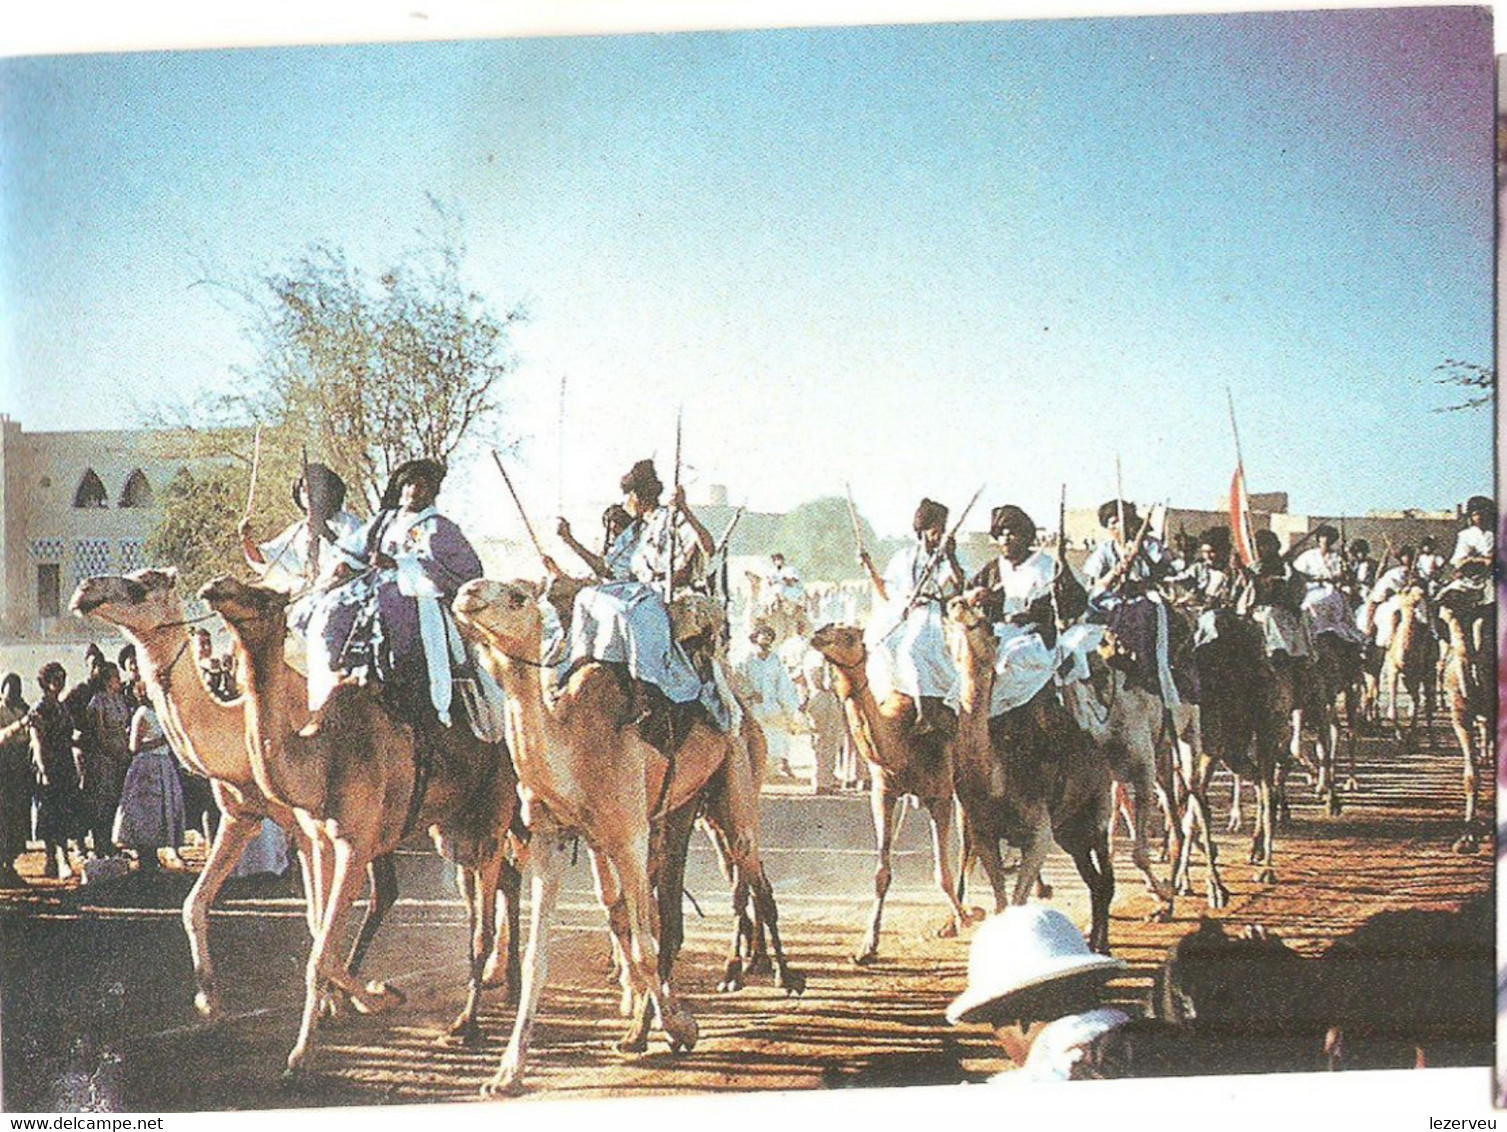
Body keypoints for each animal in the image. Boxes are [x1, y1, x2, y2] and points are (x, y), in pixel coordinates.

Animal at [70, 569, 406, 1024]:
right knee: (385, 891)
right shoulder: (238, 816)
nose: (85, 590)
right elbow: (193, 904)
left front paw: (334, 1002)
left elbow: (317, 918)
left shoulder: (308, 827)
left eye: (142, 585)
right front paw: (208, 999)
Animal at [200, 578, 518, 1073]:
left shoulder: (355, 844)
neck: (322, 756)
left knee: (482, 926)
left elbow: (320, 953)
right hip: (453, 830)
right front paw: (370, 996)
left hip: (491, 818)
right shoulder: (320, 841)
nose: (216, 587)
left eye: (263, 596)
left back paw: (468, 1024)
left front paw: (302, 1054)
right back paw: (509, 986)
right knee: (505, 885)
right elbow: (321, 939)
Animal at [449, 578, 789, 1091]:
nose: (467, 593)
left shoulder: (629, 836)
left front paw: (682, 1027)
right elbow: (539, 958)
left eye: (516, 597)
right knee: (689, 904)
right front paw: (507, 1073)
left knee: (750, 869)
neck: (574, 746)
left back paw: (780, 976)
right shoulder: (550, 838)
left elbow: (645, 947)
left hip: (738, 778)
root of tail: (744, 708)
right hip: (683, 810)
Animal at [807, 621, 982, 964]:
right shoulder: (884, 793)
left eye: (849, 635)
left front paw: (963, 918)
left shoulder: (938, 795)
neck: (901, 742)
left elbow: (941, 871)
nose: (817, 635)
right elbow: (881, 874)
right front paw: (867, 946)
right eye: (829, 626)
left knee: (977, 836)